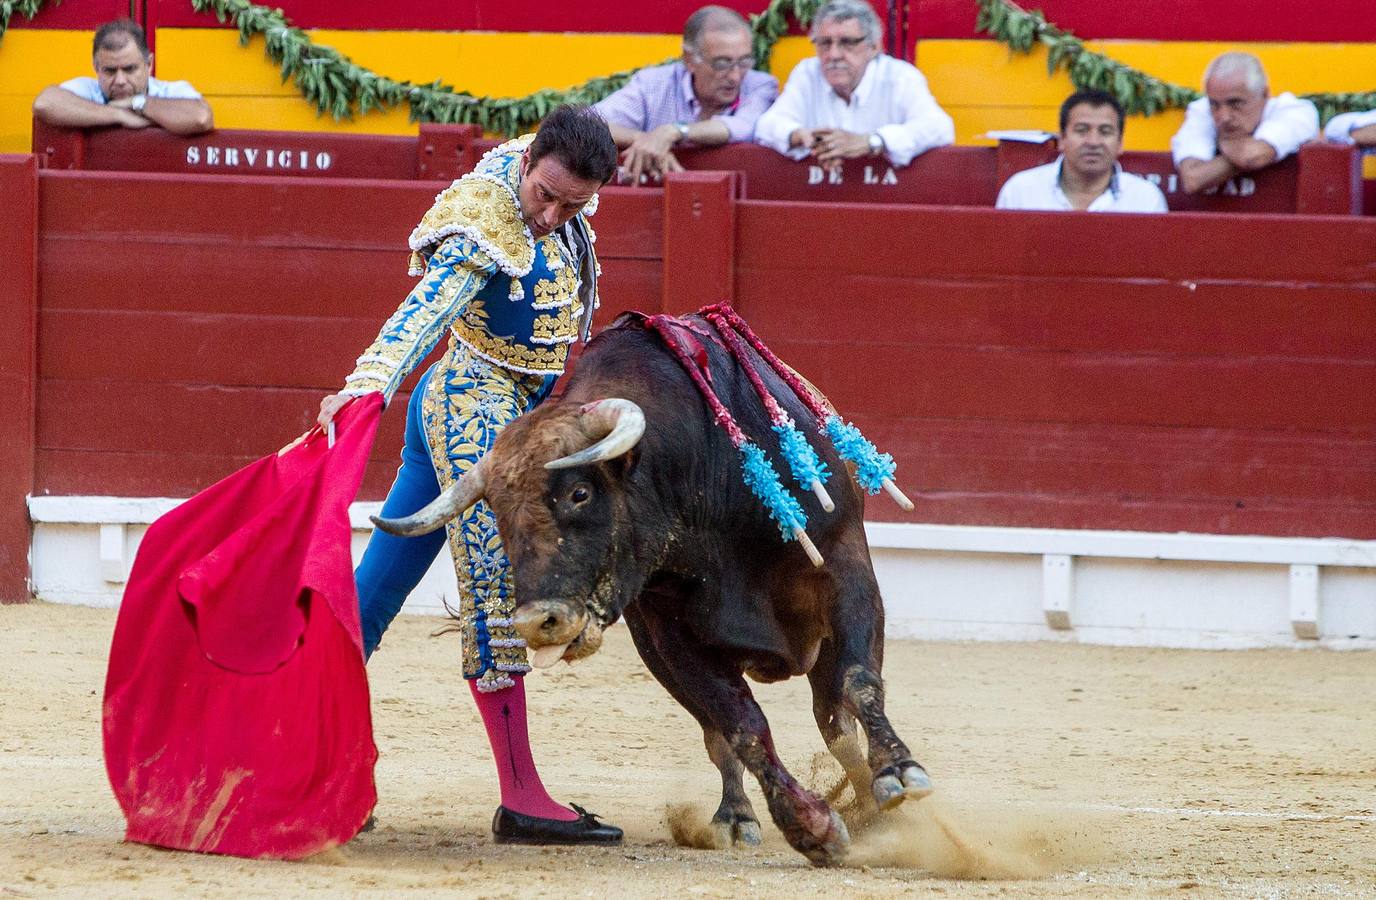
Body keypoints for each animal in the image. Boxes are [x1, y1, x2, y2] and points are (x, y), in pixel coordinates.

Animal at [379, 312, 935, 869]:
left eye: (580, 492)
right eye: (496, 512)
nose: (538, 622)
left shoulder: (847, 570)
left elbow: (859, 683)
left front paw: (898, 774)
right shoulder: (670, 632)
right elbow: (743, 726)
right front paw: (810, 827)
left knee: (834, 719)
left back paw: (875, 806)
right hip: (660, 657)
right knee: (722, 734)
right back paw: (738, 817)